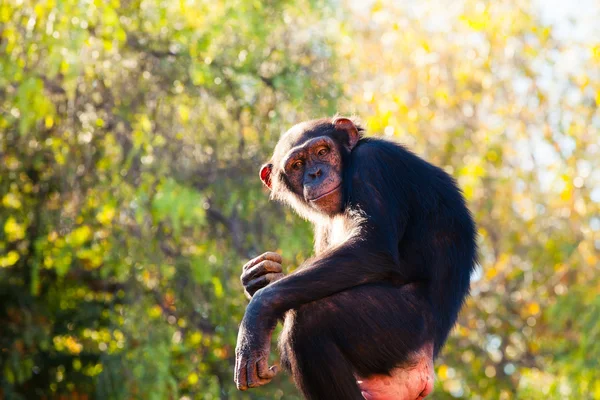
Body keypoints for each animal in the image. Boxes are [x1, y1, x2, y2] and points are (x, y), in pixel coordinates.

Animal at [234, 116, 478, 400]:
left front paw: (255, 317)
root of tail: (425, 364)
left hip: (400, 332)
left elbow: (371, 244)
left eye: (322, 151)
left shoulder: (372, 163)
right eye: (297, 165)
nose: (315, 173)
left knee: (311, 319)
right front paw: (260, 276)